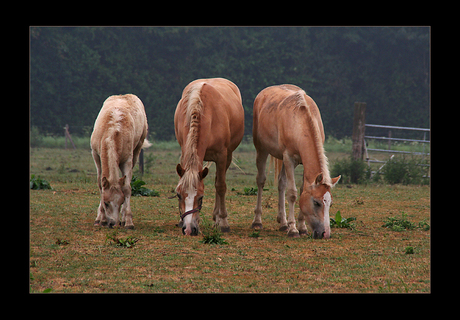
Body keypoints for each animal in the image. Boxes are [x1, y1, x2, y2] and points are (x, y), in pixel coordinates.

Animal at [90, 94, 152, 229]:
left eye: (121, 201)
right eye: (106, 203)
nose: (113, 223)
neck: (112, 131)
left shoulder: (127, 160)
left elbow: (127, 188)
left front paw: (128, 221)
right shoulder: (96, 156)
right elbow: (100, 185)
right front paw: (101, 219)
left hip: (137, 151)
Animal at [173, 78, 244, 235]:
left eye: (201, 197)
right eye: (179, 195)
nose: (189, 229)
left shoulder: (222, 156)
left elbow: (221, 186)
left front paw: (223, 222)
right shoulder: (184, 151)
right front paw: (181, 220)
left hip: (227, 157)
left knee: (219, 182)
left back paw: (217, 217)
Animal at [252, 84, 342, 239]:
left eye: (330, 204)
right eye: (316, 203)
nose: (325, 233)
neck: (300, 122)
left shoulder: (303, 164)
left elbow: (300, 191)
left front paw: (302, 227)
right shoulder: (289, 159)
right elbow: (293, 193)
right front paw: (293, 230)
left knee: (281, 183)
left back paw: (283, 223)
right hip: (261, 150)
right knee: (261, 181)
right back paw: (258, 222)